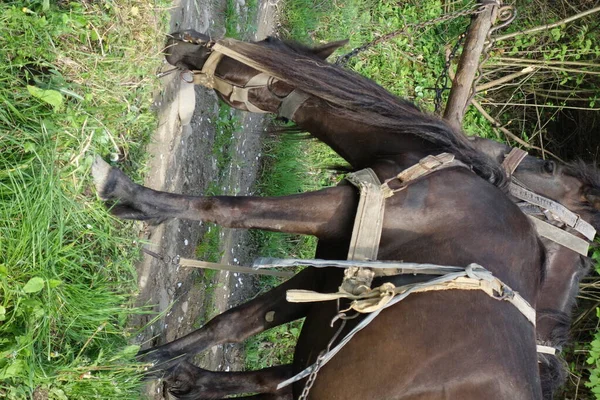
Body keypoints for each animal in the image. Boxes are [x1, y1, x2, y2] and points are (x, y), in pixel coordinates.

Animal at [91, 30, 548, 396]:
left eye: (262, 47)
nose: (182, 40)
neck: (430, 167)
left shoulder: (337, 209)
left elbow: (228, 209)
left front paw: (128, 194)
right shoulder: (331, 268)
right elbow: (236, 321)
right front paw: (145, 362)